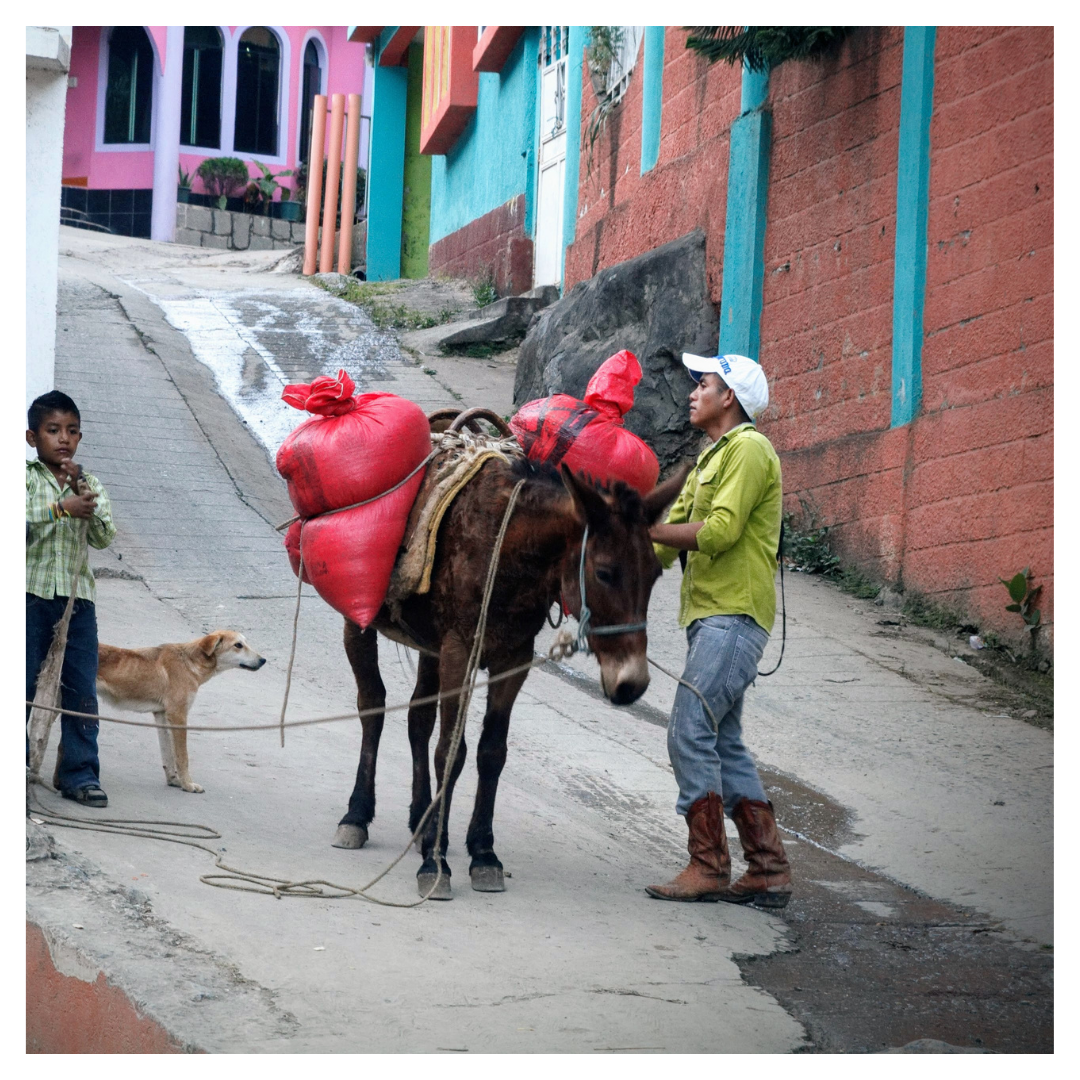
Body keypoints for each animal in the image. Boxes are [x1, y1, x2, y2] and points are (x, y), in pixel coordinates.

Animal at [85, 630, 266, 794]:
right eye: (238, 645)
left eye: (245, 643)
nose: (263, 660)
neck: (190, 662)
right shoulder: (178, 716)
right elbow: (182, 757)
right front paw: (188, 784)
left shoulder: (162, 716)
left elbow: (168, 755)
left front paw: (174, 780)